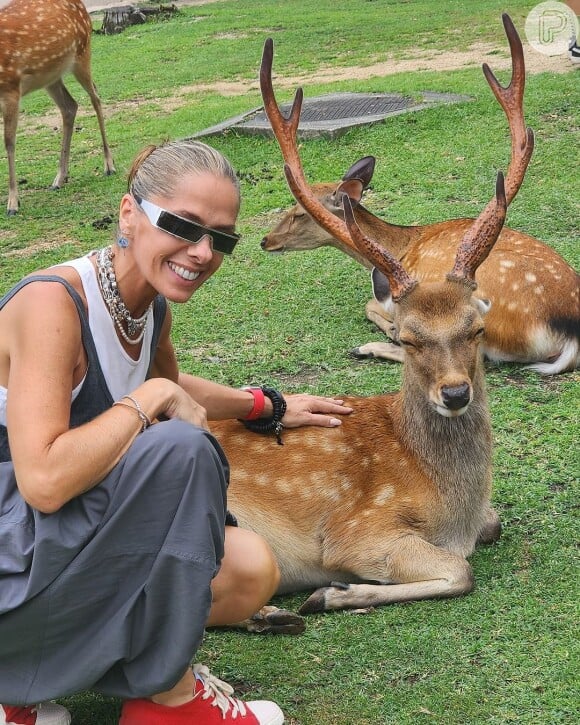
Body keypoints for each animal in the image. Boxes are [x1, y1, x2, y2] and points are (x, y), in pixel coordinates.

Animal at [0, 0, 115, 215]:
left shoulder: (11, 88)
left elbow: (9, 142)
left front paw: (13, 203)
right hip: (51, 76)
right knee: (70, 106)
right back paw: (60, 178)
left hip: (82, 52)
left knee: (95, 97)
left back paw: (109, 165)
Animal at [207, 19, 536, 632]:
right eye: (407, 338)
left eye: (475, 329)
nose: (455, 393)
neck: (453, 505)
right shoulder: (354, 531)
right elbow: (460, 570)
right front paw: (333, 593)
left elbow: (492, 525)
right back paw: (274, 611)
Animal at [264, 20, 580, 376]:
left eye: (298, 212)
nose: (265, 240)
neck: (402, 245)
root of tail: (569, 332)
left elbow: (371, 303)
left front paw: (387, 329)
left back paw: (370, 346)